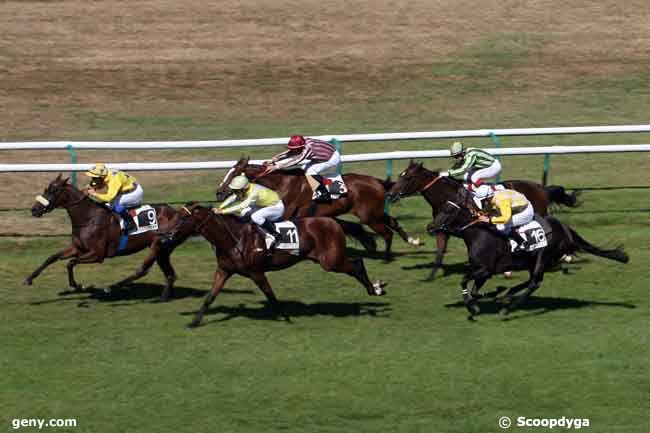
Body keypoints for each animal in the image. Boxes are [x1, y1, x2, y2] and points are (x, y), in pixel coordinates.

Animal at [25, 174, 182, 298]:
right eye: (46, 189)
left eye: (54, 190)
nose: (34, 209)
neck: (88, 218)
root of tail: (177, 212)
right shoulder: (77, 248)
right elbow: (52, 258)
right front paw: (29, 278)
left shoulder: (97, 254)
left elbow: (71, 262)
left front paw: (76, 285)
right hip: (164, 250)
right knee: (170, 274)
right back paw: (164, 296)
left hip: (158, 245)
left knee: (144, 270)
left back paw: (111, 288)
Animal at [166, 204, 384, 326]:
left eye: (183, 218)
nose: (165, 234)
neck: (234, 238)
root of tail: (333, 221)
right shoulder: (224, 270)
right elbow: (210, 297)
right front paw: (194, 322)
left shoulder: (256, 272)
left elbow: (270, 295)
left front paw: (285, 316)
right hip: (329, 260)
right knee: (356, 263)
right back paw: (375, 288)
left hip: (331, 261)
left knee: (357, 264)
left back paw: (375, 289)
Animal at [213, 158, 420, 262]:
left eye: (233, 173)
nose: (219, 192)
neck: (282, 182)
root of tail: (377, 182)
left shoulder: (288, 214)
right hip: (374, 213)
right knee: (392, 222)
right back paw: (412, 240)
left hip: (369, 217)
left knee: (387, 232)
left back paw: (386, 256)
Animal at [384, 160, 576, 278]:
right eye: (400, 175)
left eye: (408, 177)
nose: (390, 194)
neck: (448, 196)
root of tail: (541, 188)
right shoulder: (441, 228)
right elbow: (439, 252)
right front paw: (430, 276)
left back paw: (566, 256)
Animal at [428, 197, 624, 316]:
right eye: (441, 208)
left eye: (448, 210)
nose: (429, 227)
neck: (479, 234)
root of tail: (566, 231)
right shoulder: (482, 271)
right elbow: (475, 291)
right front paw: (487, 297)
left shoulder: (485, 270)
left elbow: (463, 281)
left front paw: (472, 307)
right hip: (533, 261)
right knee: (531, 280)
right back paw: (508, 295)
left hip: (543, 256)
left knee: (535, 282)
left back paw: (509, 307)